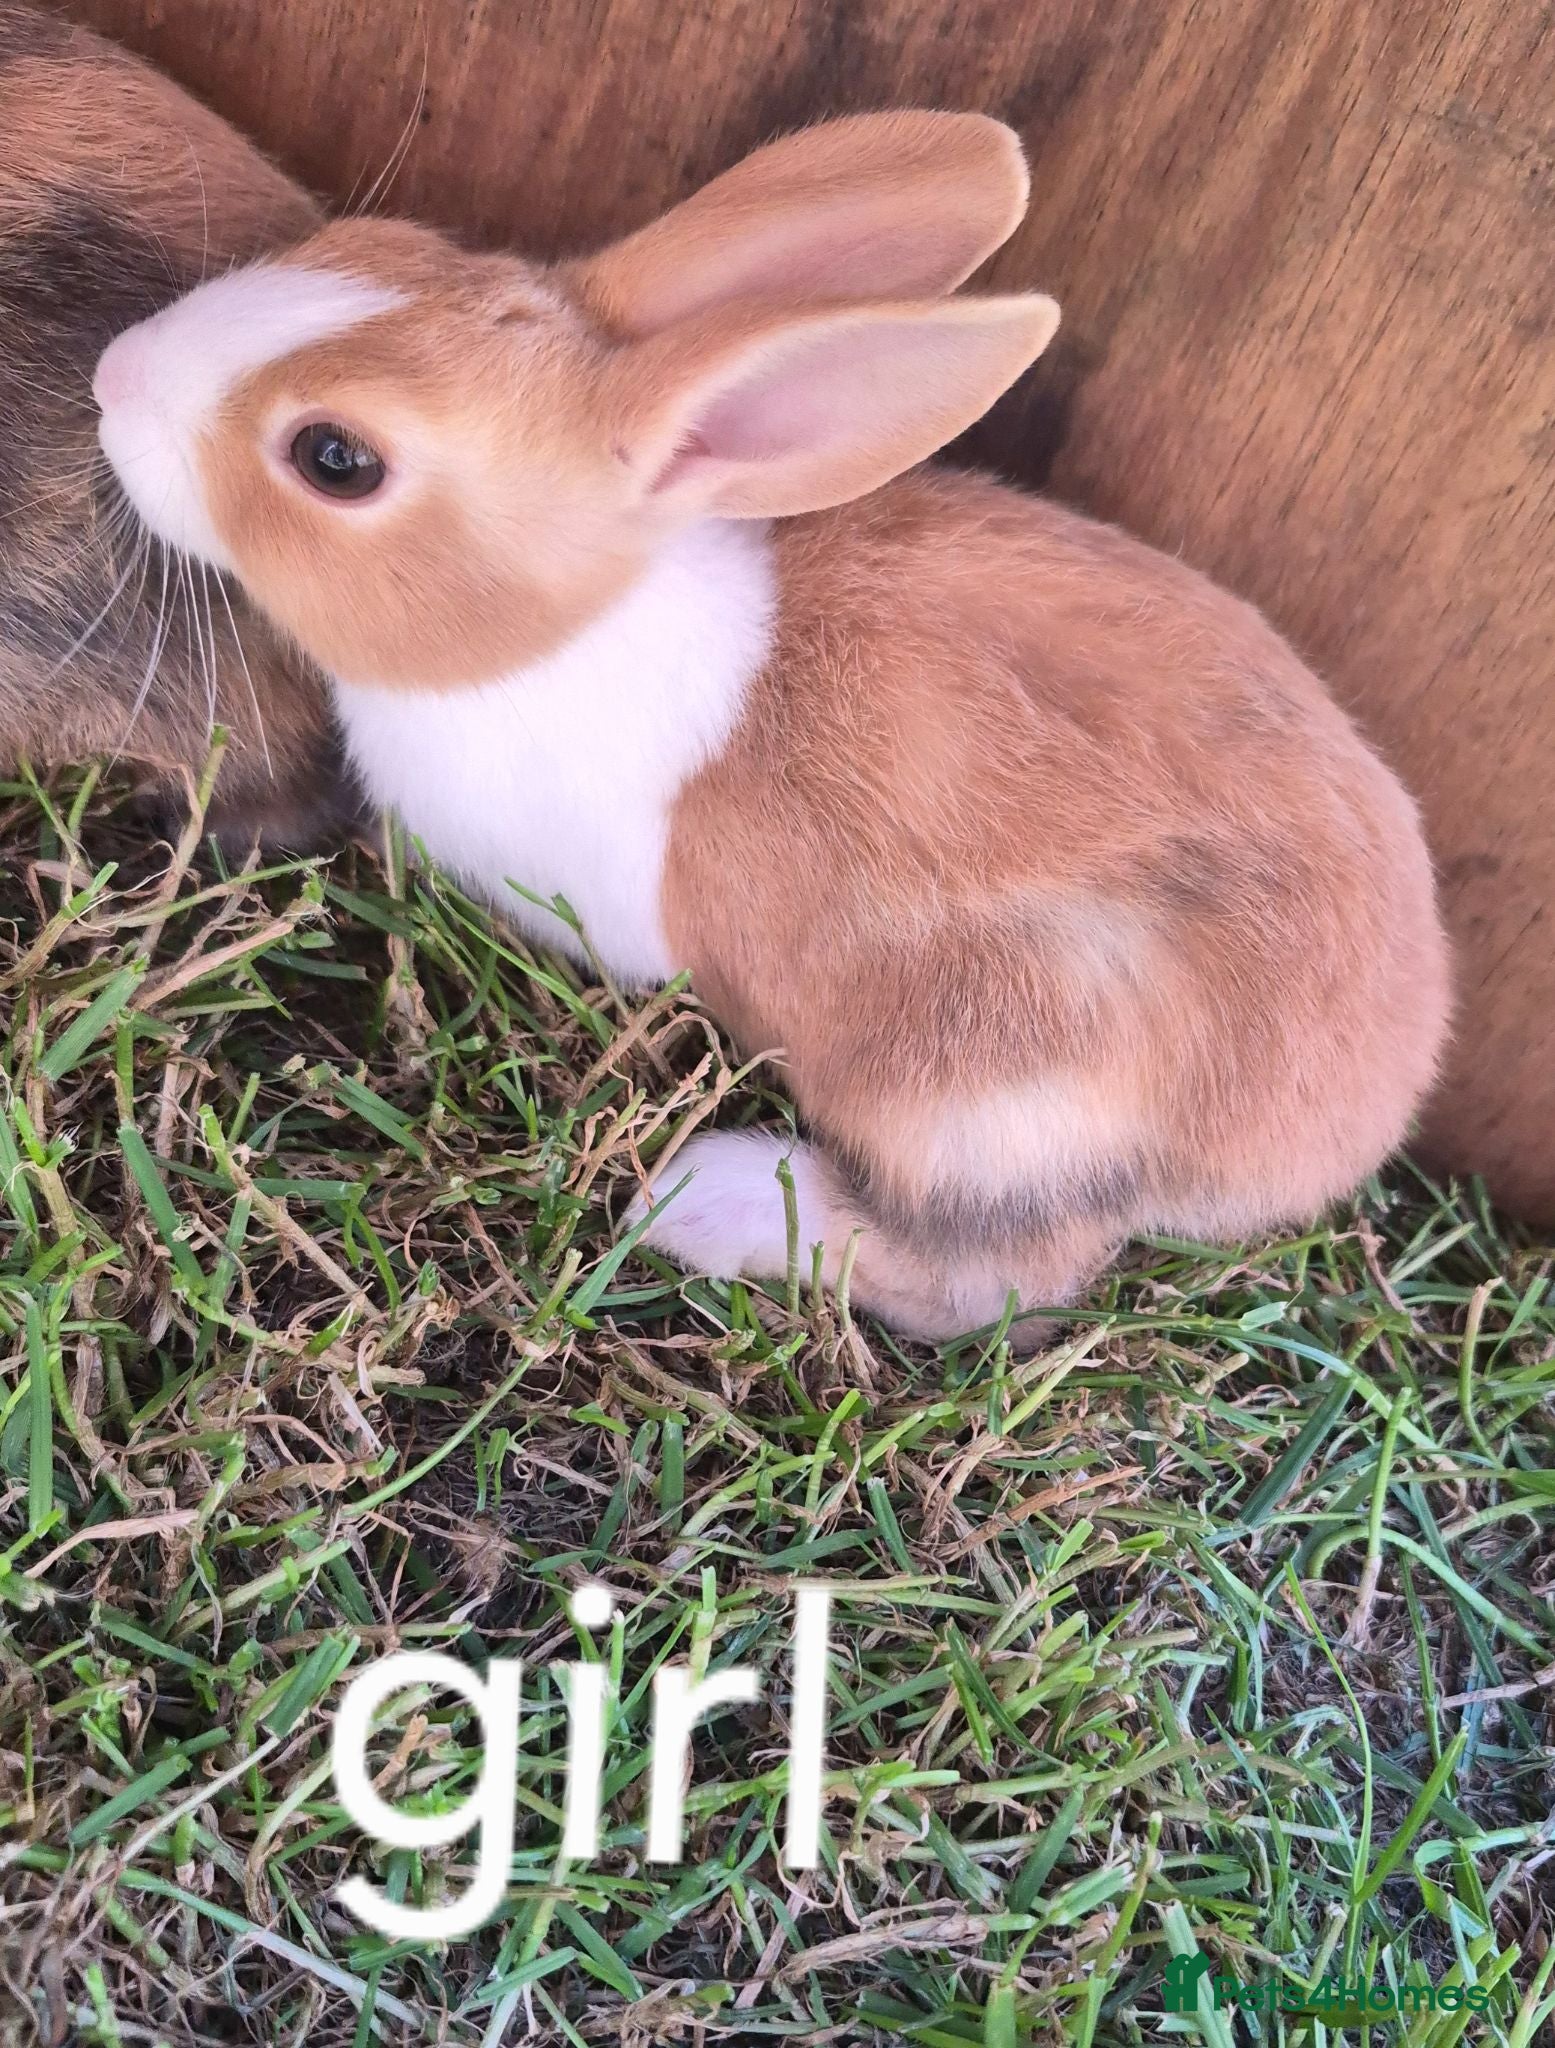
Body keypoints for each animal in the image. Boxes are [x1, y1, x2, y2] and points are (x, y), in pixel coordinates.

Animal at [89, 109, 1452, 1343]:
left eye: (335, 459)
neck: (568, 625)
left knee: (994, 1282)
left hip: (994, 1089)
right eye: (381, 244)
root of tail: (1347, 1122)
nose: (112, 378)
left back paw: (712, 1199)